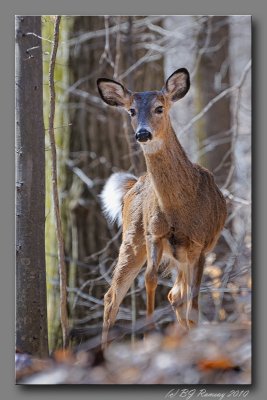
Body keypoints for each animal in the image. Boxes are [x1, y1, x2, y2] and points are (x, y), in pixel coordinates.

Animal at [97, 68, 227, 346]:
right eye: (131, 111)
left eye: (159, 108)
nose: (143, 133)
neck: (181, 207)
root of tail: (134, 183)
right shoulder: (154, 234)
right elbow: (150, 279)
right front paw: (148, 334)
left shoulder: (200, 245)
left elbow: (193, 302)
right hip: (132, 239)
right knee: (112, 296)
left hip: (183, 256)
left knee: (177, 295)